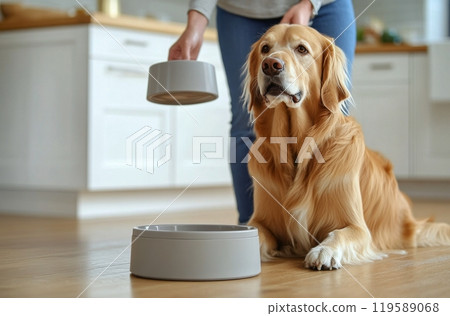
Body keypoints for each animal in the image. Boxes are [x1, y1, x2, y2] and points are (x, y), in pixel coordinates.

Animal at [246, 24, 450, 270]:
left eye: (301, 49)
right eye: (265, 49)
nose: (270, 65)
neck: (297, 148)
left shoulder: (358, 228)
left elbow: (339, 234)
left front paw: (324, 250)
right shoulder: (259, 221)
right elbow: (256, 234)